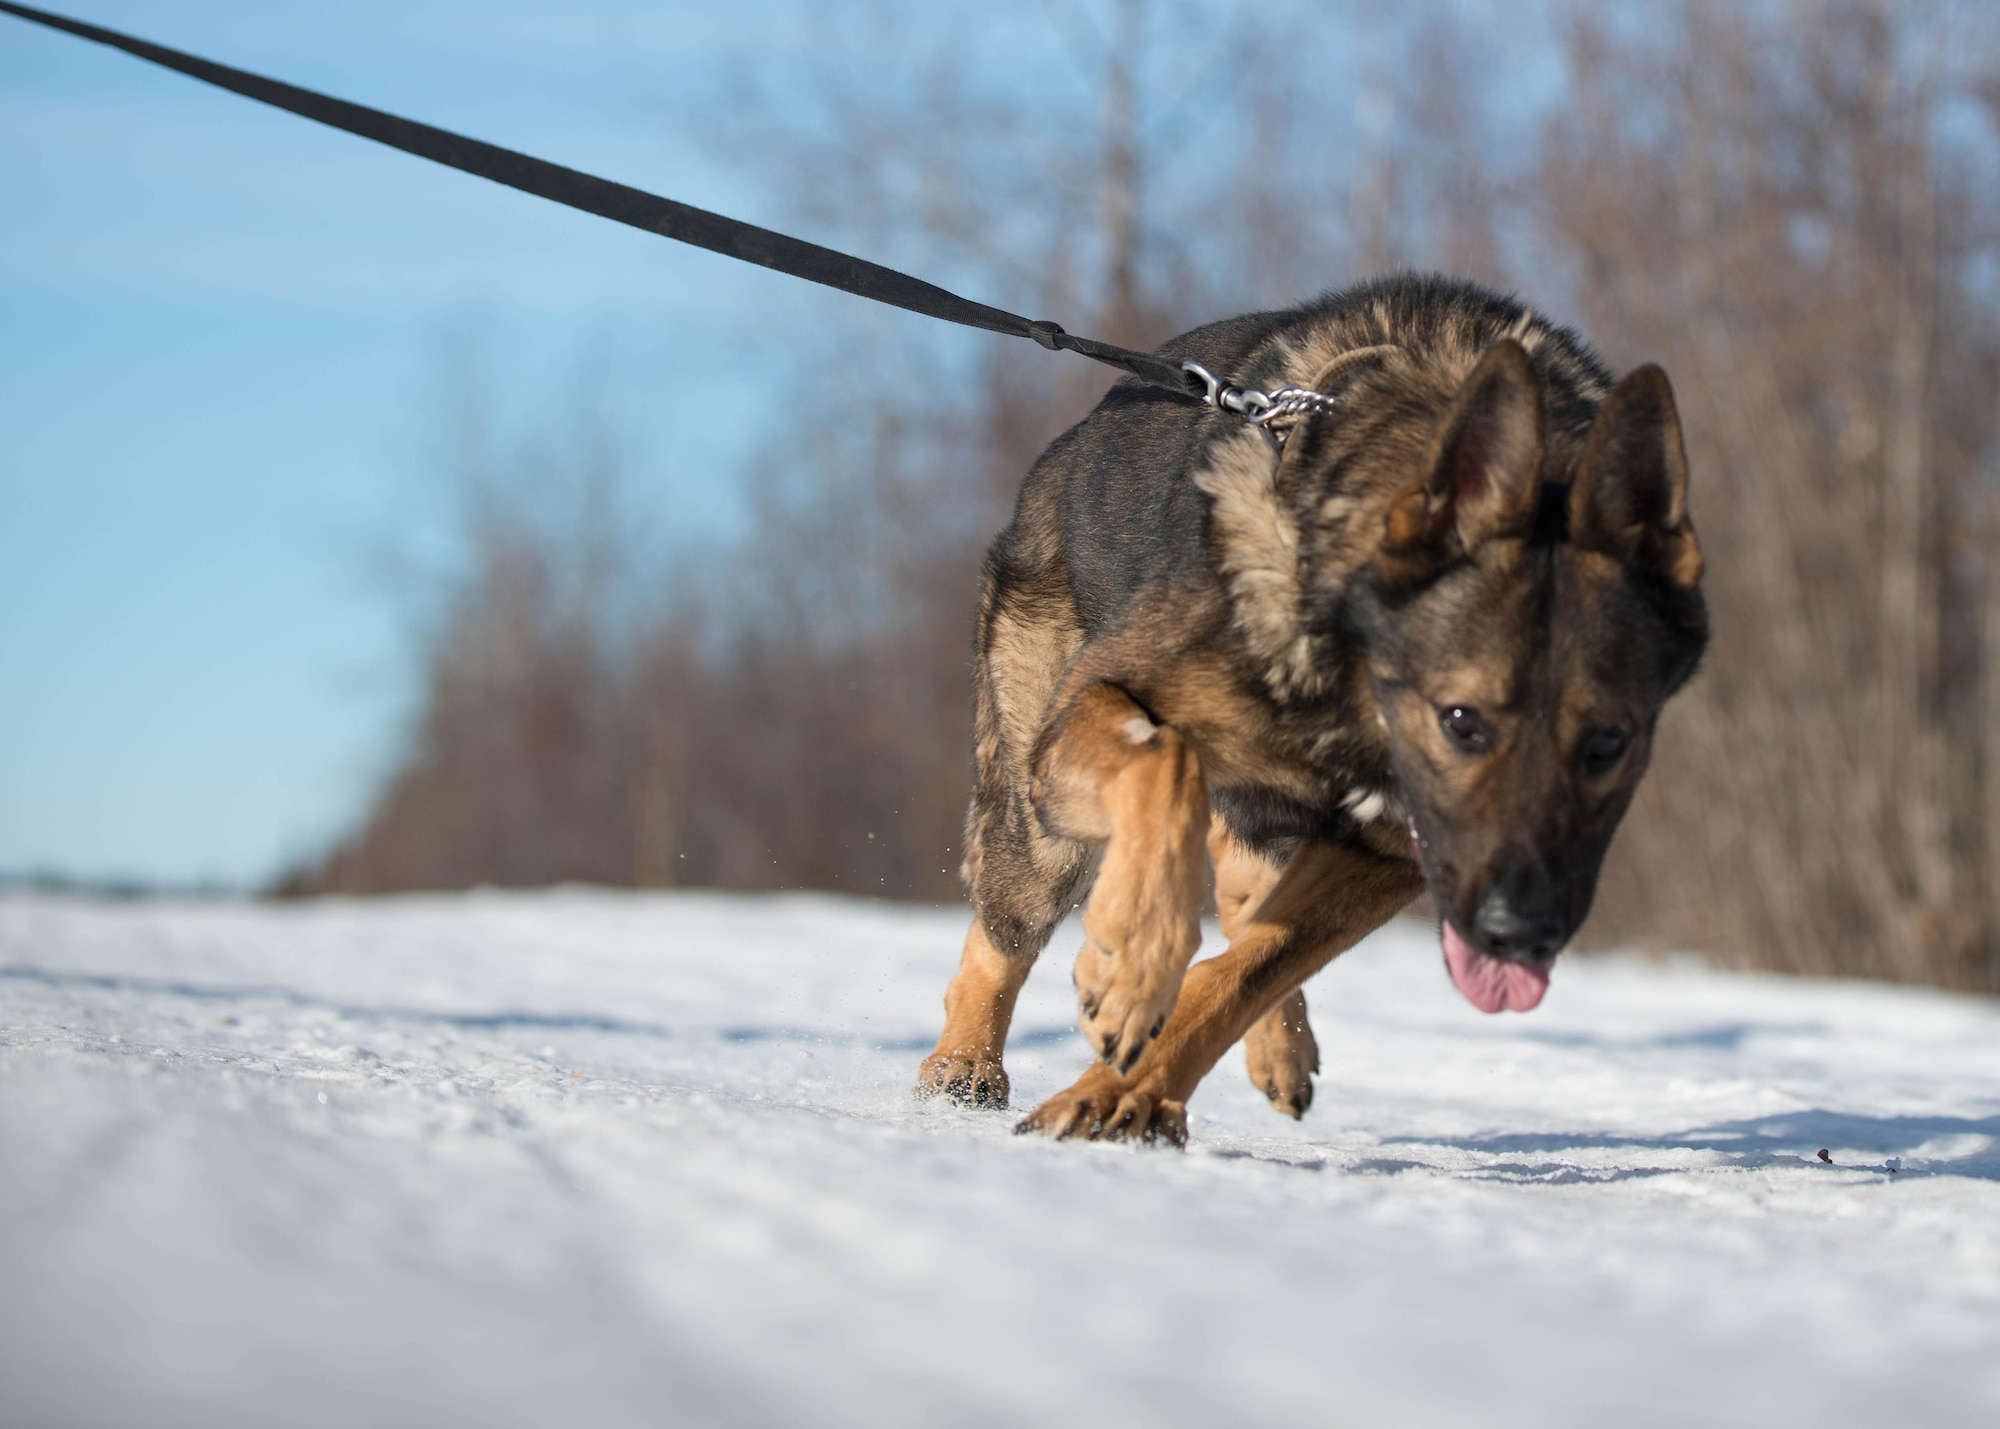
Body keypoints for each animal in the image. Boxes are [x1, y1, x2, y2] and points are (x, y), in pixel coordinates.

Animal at [916, 272, 1712, 1144]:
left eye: (1607, 743)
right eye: (1461, 720)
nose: (1520, 933)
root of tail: (1068, 446)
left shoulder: (1391, 854)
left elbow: (1249, 968)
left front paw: (1128, 1089)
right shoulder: (1097, 707)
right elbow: (1166, 763)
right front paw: (1133, 965)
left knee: (1241, 901)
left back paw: (1266, 1048)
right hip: (1043, 819)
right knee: (1009, 927)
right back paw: (965, 1062)